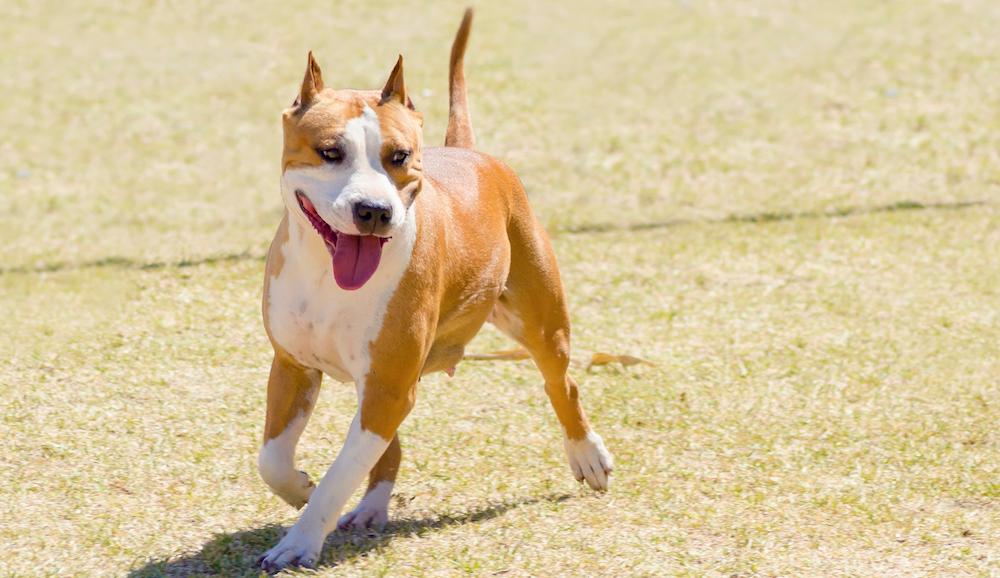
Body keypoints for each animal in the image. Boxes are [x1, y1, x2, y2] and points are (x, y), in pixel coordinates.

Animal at [254, 11, 612, 568]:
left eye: (399, 155)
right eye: (330, 152)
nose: (374, 211)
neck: (327, 274)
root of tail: (468, 152)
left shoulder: (387, 384)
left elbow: (339, 475)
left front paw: (300, 540)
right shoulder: (295, 366)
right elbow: (272, 458)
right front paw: (299, 489)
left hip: (539, 323)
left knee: (561, 382)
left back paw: (588, 455)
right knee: (385, 447)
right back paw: (371, 509)